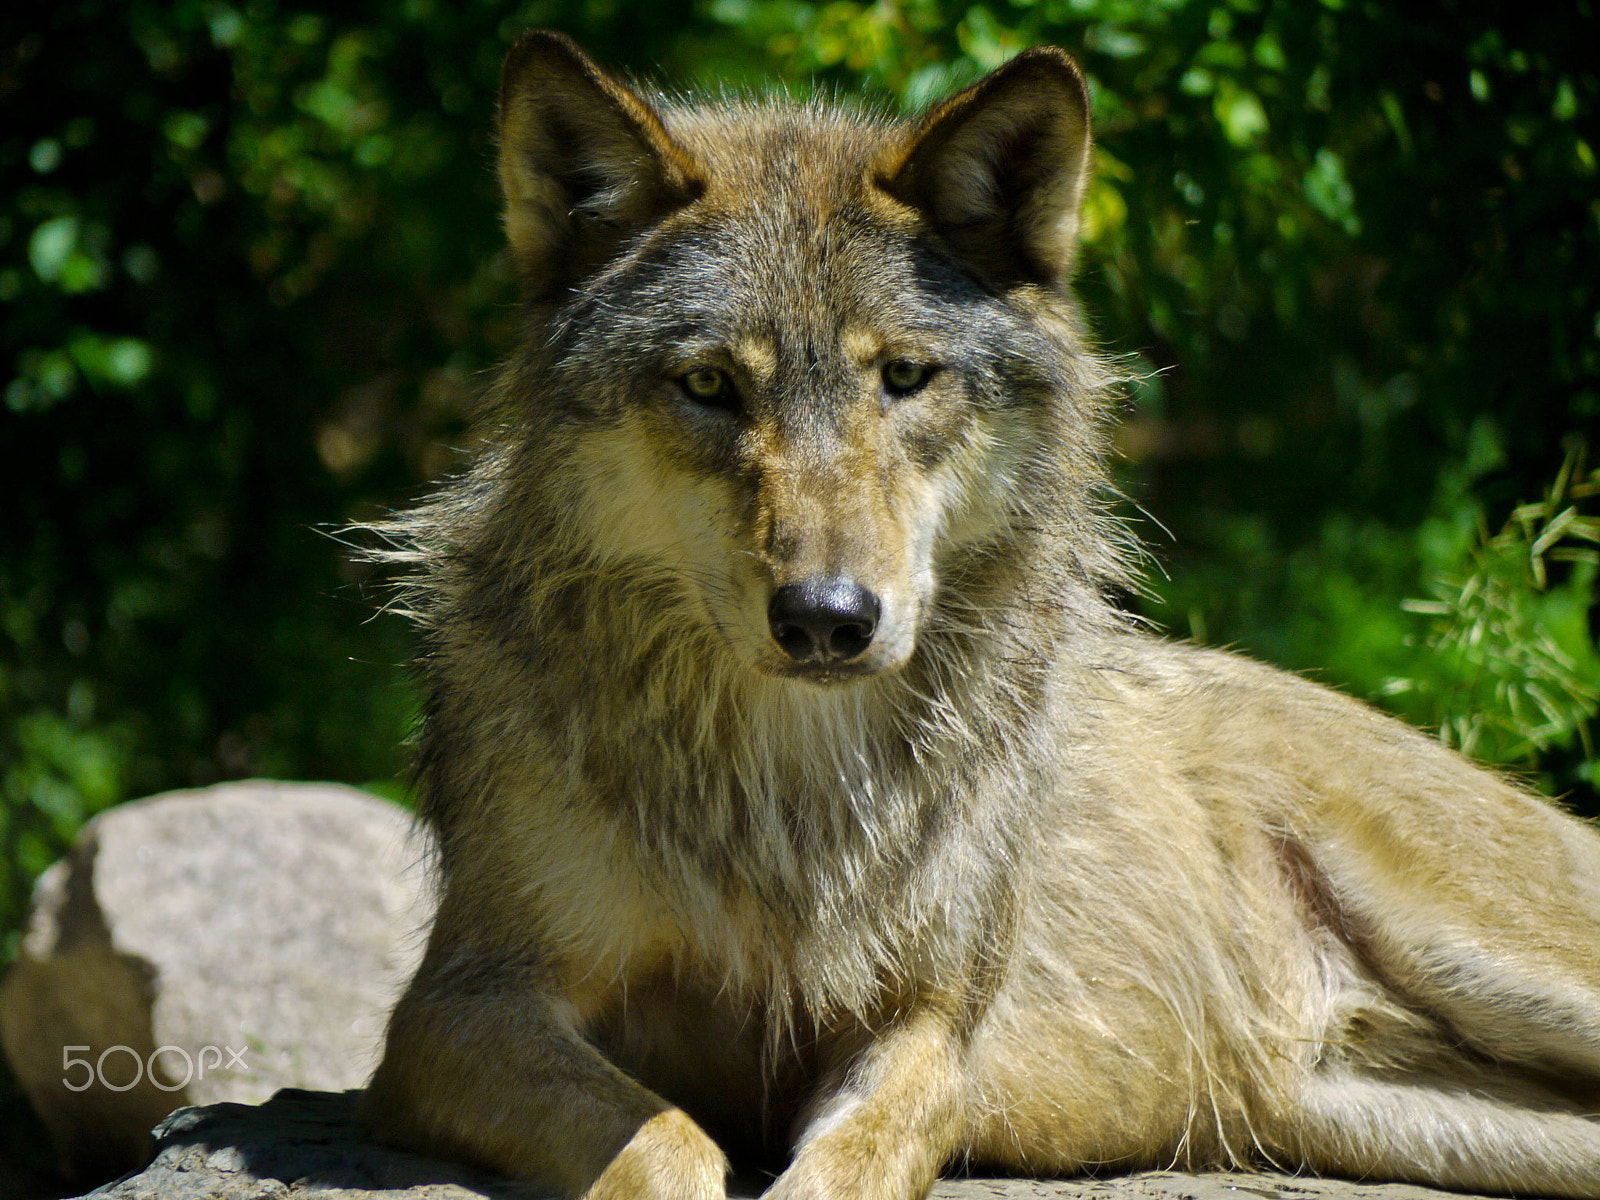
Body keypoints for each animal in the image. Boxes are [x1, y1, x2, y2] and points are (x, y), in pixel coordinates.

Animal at [359, 28, 1600, 1200]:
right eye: (709, 386)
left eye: (904, 378)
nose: (825, 617)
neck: (791, 796)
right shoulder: (457, 1007)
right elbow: (663, 1143)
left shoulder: (933, 1023)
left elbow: (853, 1159)